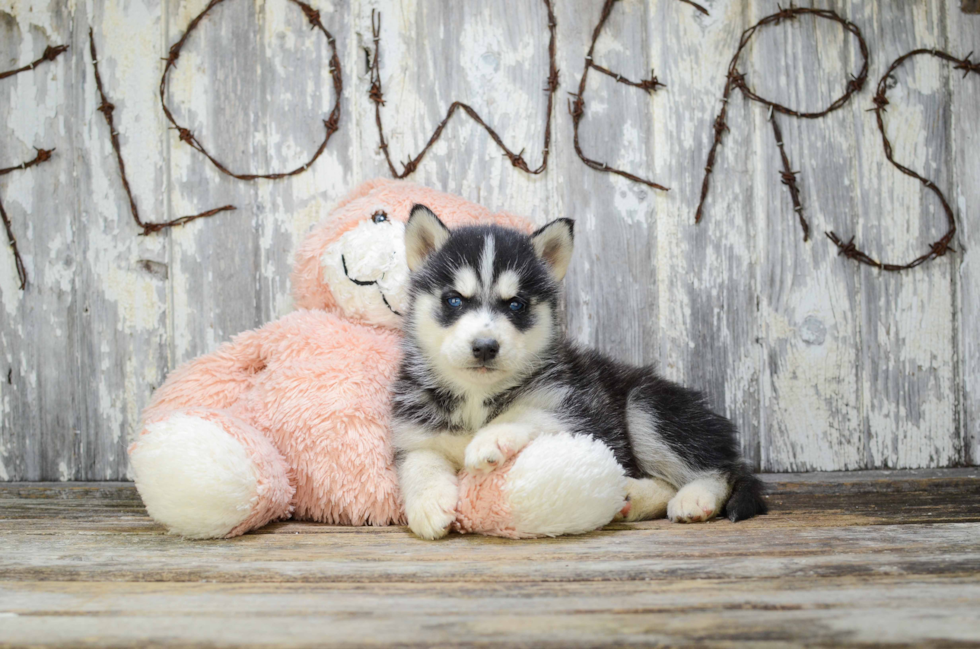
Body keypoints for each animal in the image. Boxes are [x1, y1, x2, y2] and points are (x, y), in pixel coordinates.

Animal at [390, 205, 764, 540]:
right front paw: (428, 504)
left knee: (723, 469)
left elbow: (528, 412)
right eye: (454, 300)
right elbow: (419, 461)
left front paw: (489, 439)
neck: (476, 397)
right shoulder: (413, 431)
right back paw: (630, 496)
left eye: (516, 304)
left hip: (647, 407)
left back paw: (695, 497)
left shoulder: (579, 410)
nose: (485, 346)